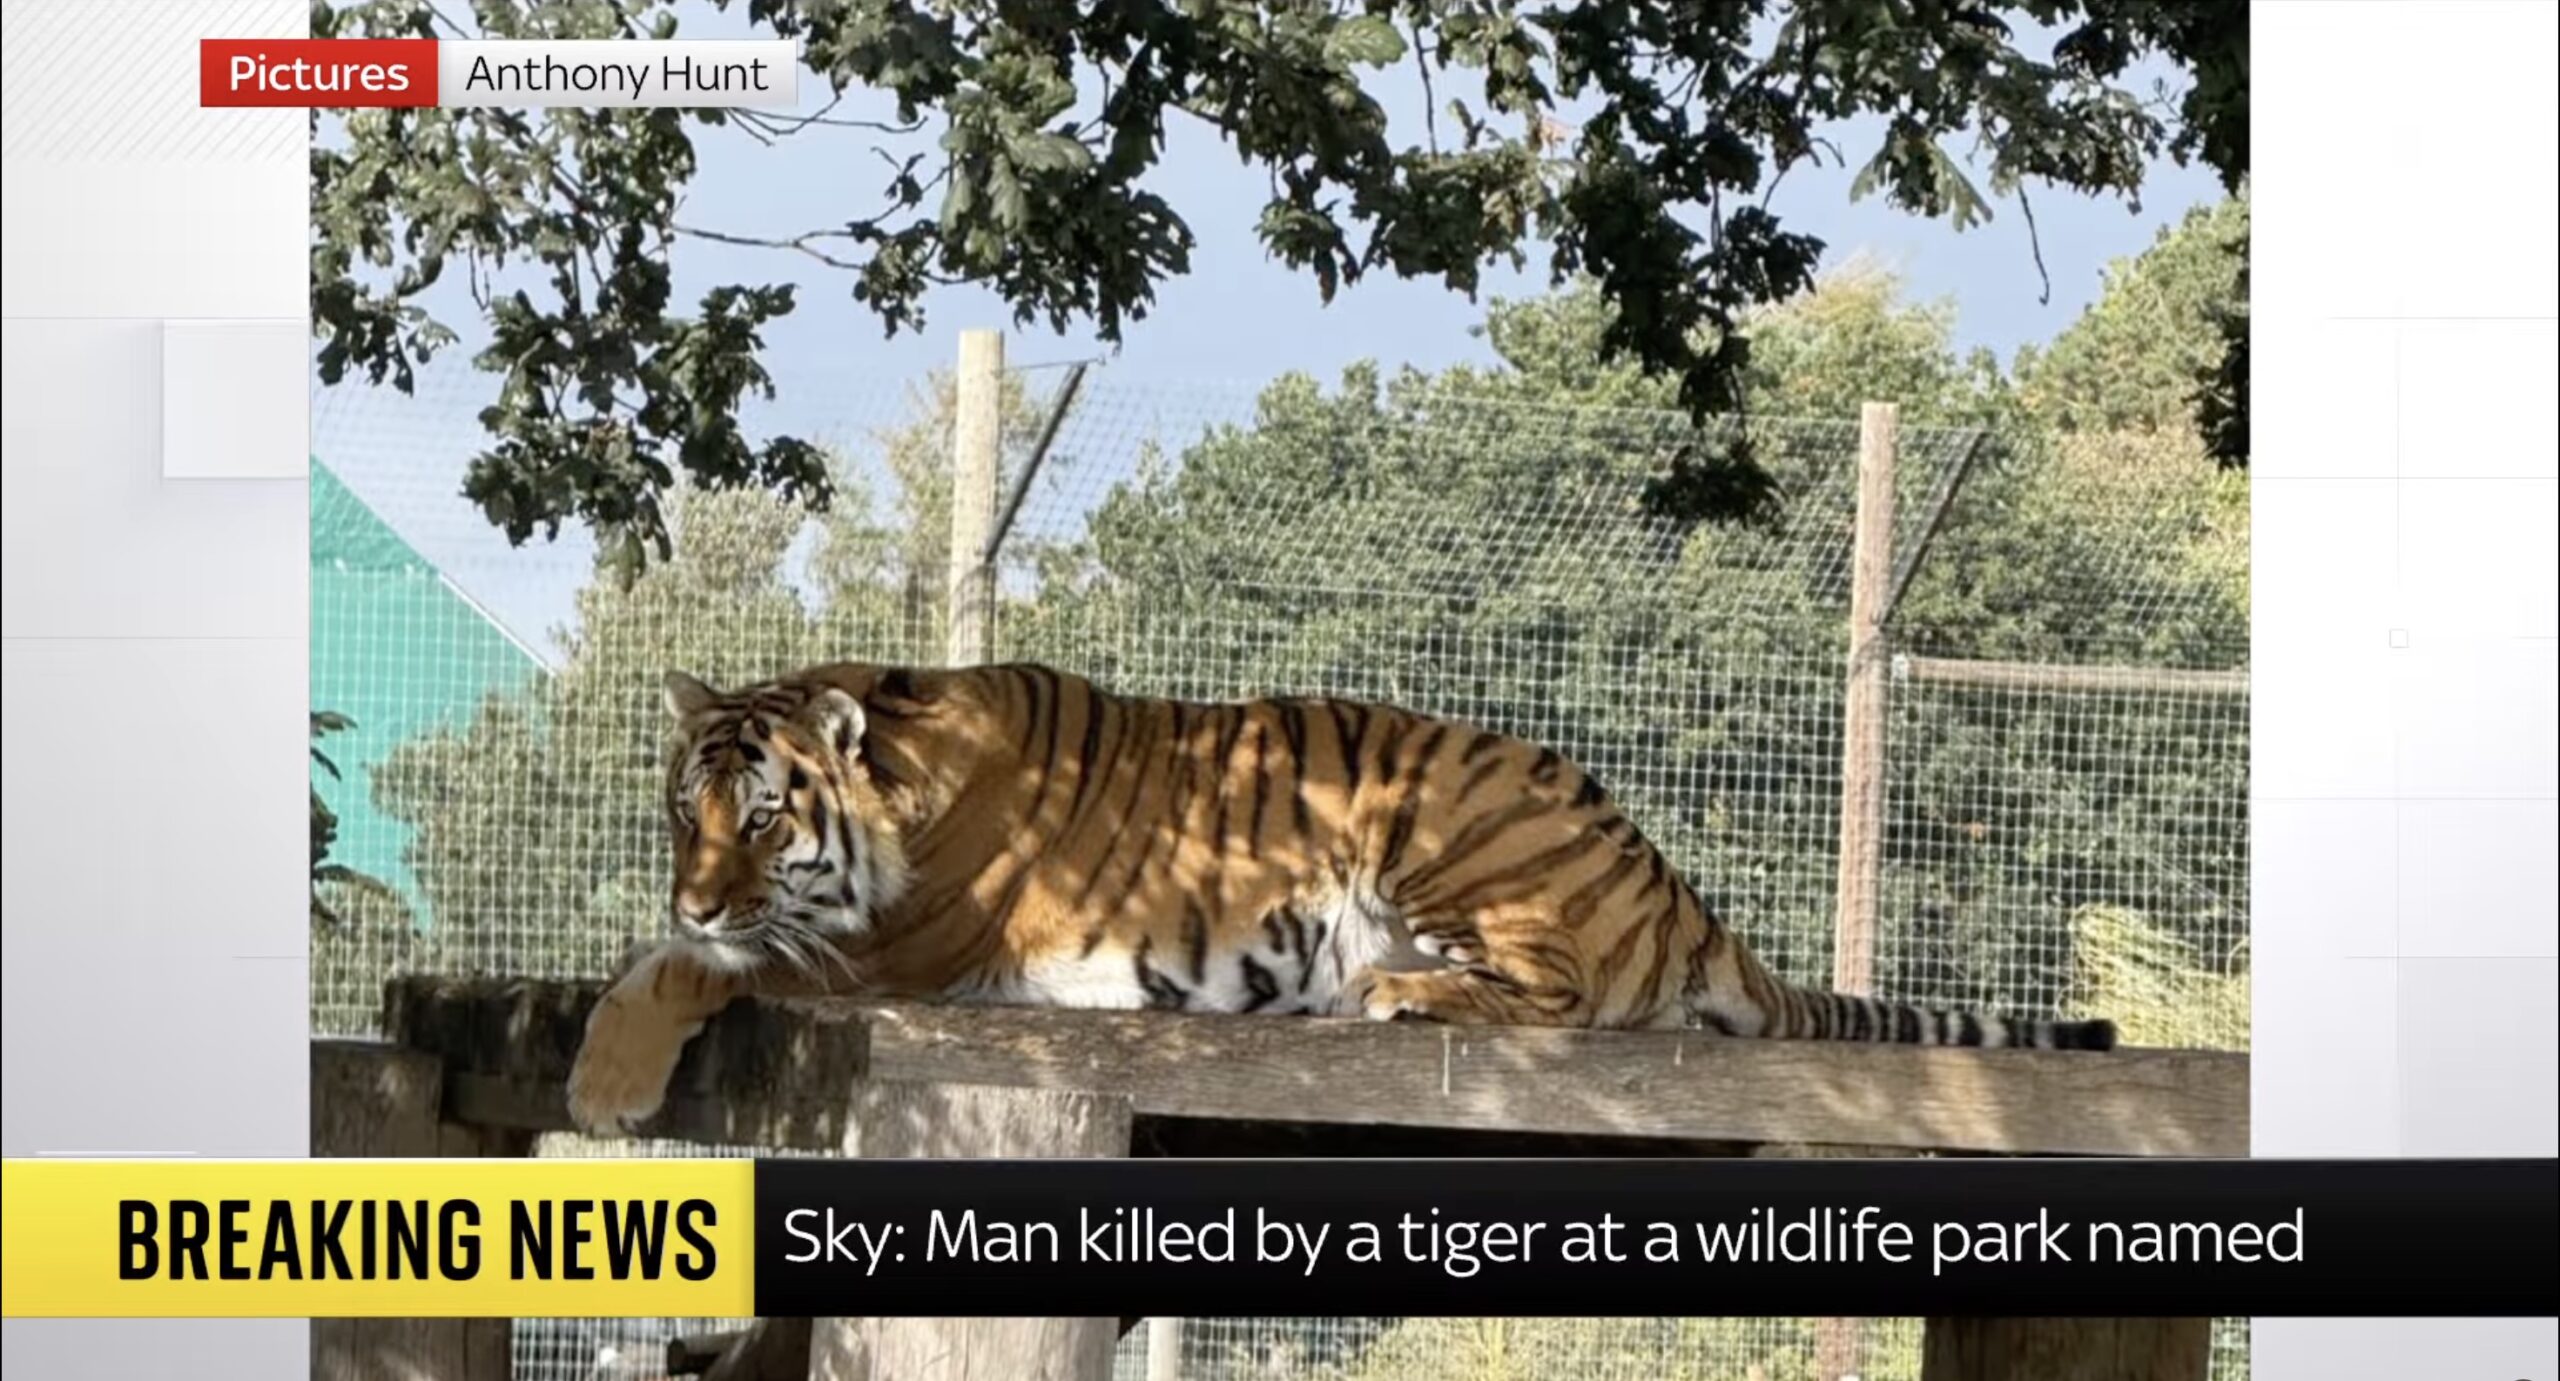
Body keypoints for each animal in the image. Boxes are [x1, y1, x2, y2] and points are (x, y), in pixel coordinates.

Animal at [564, 660, 2118, 1135]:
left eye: (766, 819)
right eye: (683, 812)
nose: (698, 895)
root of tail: (1679, 888)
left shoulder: (892, 951)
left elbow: (684, 970)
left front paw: (604, 1078)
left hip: (1439, 813)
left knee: (1559, 993)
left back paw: (1394, 988)